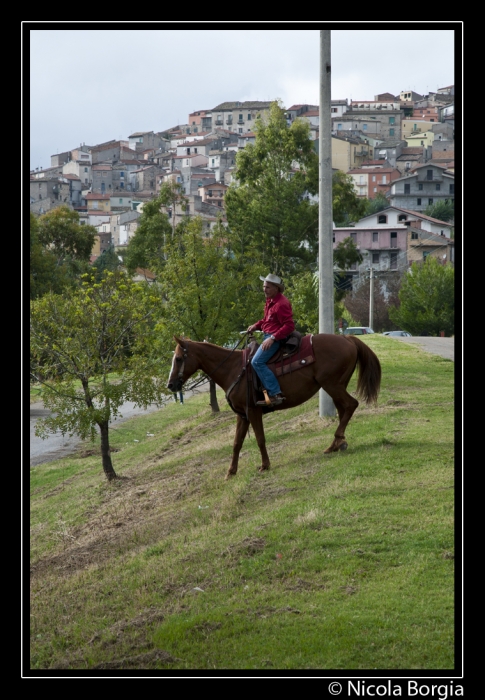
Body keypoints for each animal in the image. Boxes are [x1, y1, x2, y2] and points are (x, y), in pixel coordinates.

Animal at [168, 334, 380, 482]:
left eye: (178, 359)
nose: (170, 385)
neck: (234, 369)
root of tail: (347, 339)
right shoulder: (242, 415)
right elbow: (237, 443)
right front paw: (231, 472)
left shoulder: (253, 412)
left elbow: (260, 439)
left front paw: (265, 465)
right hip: (336, 386)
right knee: (344, 410)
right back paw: (337, 443)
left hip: (332, 385)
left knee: (351, 405)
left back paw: (336, 442)